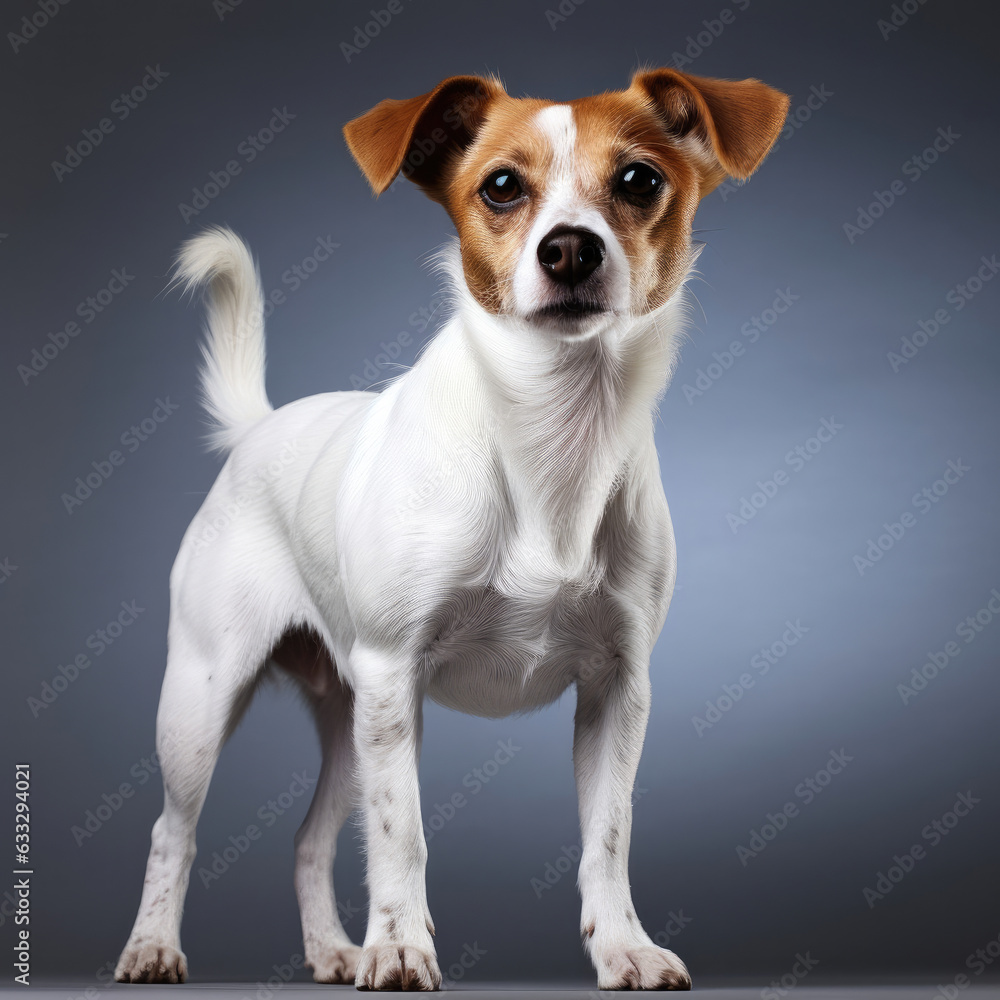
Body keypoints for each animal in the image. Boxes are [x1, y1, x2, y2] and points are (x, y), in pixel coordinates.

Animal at [115, 66, 788, 988]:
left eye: (639, 180)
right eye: (501, 186)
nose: (569, 248)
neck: (550, 437)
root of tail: (261, 428)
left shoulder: (618, 691)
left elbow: (606, 837)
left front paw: (622, 945)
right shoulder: (395, 675)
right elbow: (403, 836)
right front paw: (401, 946)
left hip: (350, 719)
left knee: (308, 840)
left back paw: (332, 950)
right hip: (207, 699)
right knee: (171, 832)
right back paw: (155, 945)